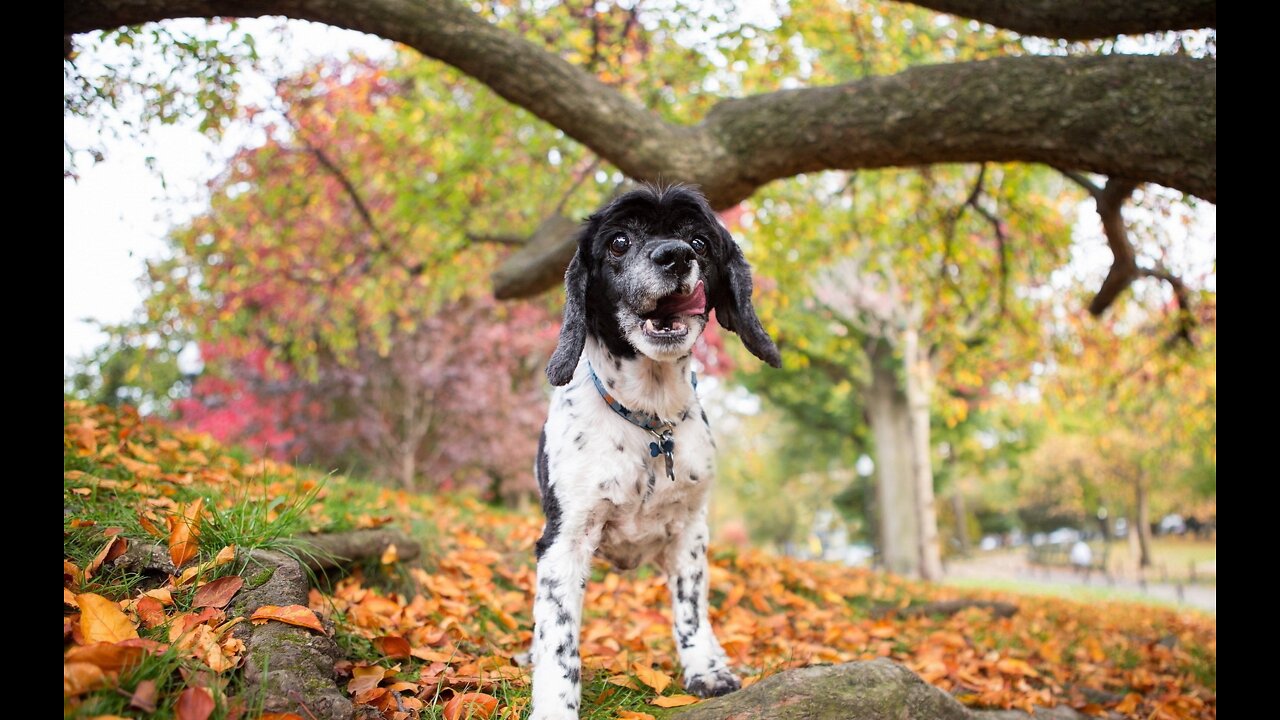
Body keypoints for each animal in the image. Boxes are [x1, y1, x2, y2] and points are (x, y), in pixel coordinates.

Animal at [524, 183, 783, 717]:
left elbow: (690, 610)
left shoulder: (690, 533)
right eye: (619, 242)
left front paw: (706, 670)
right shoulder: (563, 540)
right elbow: (559, 637)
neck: (649, 418)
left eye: (699, 243)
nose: (676, 255)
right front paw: (555, 704)